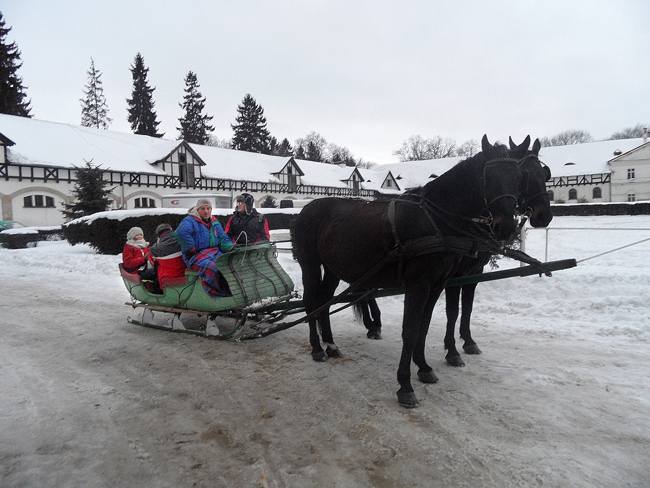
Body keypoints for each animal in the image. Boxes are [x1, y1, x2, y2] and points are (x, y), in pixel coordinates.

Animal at [292, 135, 528, 406]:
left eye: (519, 177)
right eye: (489, 177)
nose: (505, 227)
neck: (434, 221)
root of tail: (305, 210)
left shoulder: (437, 285)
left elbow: (423, 327)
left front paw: (424, 367)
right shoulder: (418, 284)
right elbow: (411, 330)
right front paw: (405, 384)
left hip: (333, 269)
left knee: (324, 301)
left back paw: (330, 344)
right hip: (310, 265)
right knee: (311, 302)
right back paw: (317, 348)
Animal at [440, 135, 552, 364]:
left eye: (544, 173)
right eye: (527, 177)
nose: (544, 216)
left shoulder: (474, 271)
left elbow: (468, 306)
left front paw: (468, 341)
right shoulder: (454, 275)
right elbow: (452, 310)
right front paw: (452, 350)